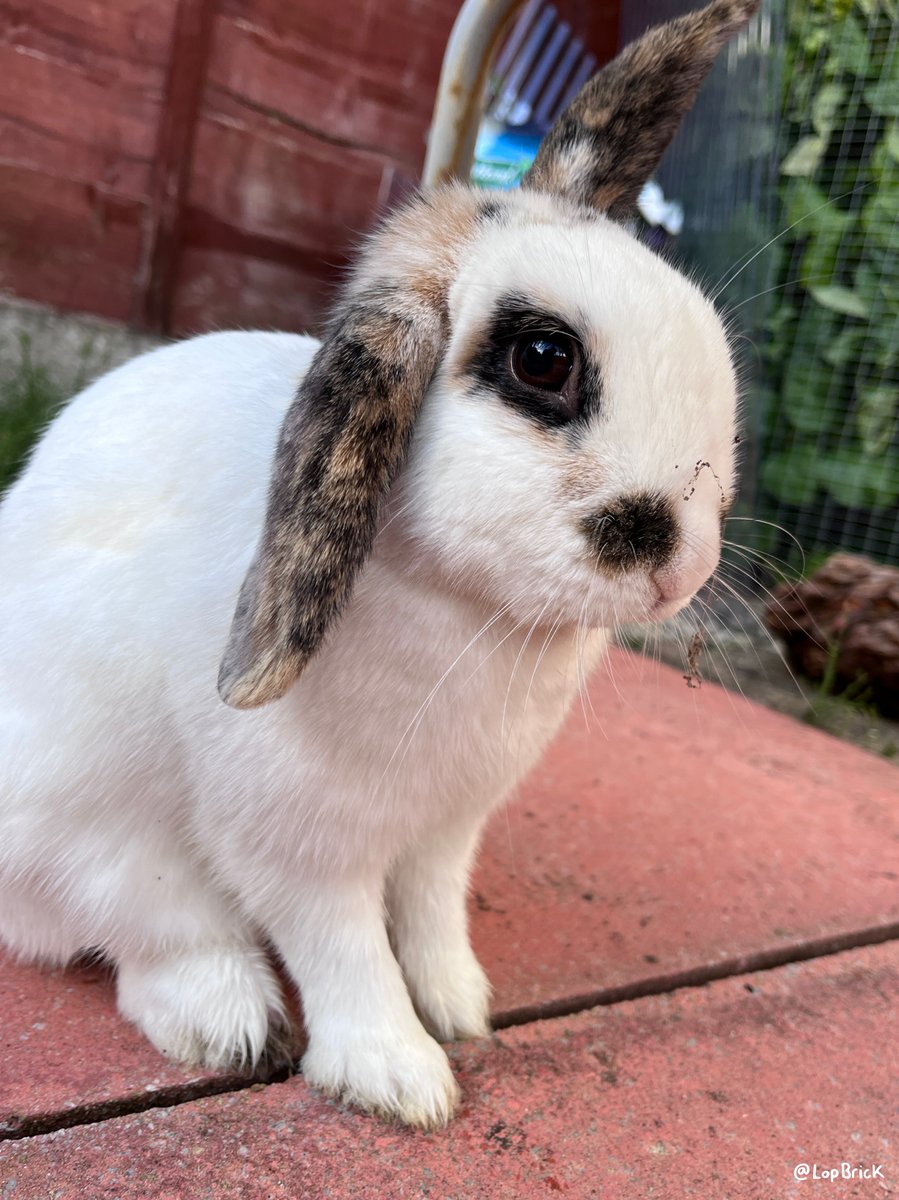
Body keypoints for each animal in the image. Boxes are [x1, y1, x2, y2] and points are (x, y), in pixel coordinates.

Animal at [0, 0, 759, 1128]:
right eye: (542, 360)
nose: (679, 559)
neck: (464, 611)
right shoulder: (299, 843)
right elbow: (344, 950)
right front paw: (400, 1078)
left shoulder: (448, 827)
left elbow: (431, 917)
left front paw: (461, 1007)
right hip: (92, 837)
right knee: (146, 939)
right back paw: (227, 1019)